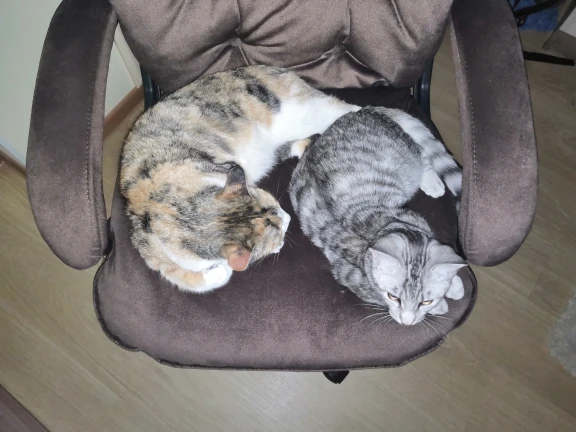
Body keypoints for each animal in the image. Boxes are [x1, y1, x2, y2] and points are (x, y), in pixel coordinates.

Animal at [120, 65, 359, 293]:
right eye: (278, 234)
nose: (288, 218)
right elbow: (187, 279)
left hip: (300, 113)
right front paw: (219, 271)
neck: (183, 215)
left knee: (344, 108)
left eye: (277, 206)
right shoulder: (153, 254)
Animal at [289, 106, 467, 325]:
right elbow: (375, 295)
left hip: (405, 153)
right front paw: (443, 302)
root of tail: (365, 110)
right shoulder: (349, 275)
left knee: (422, 153)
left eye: (425, 301)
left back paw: (431, 182)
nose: (407, 322)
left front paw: (451, 285)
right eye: (393, 297)